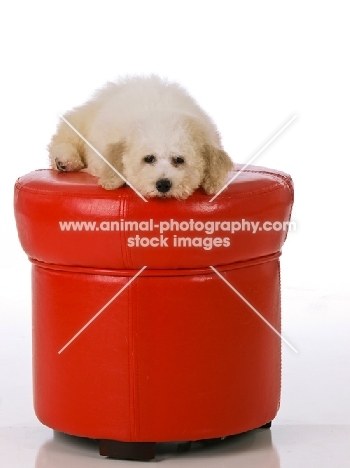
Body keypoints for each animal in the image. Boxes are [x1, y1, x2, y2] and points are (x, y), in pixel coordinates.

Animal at [48, 76, 232, 199]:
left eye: (179, 160)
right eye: (148, 158)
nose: (163, 184)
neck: (160, 111)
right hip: (79, 123)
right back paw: (64, 160)